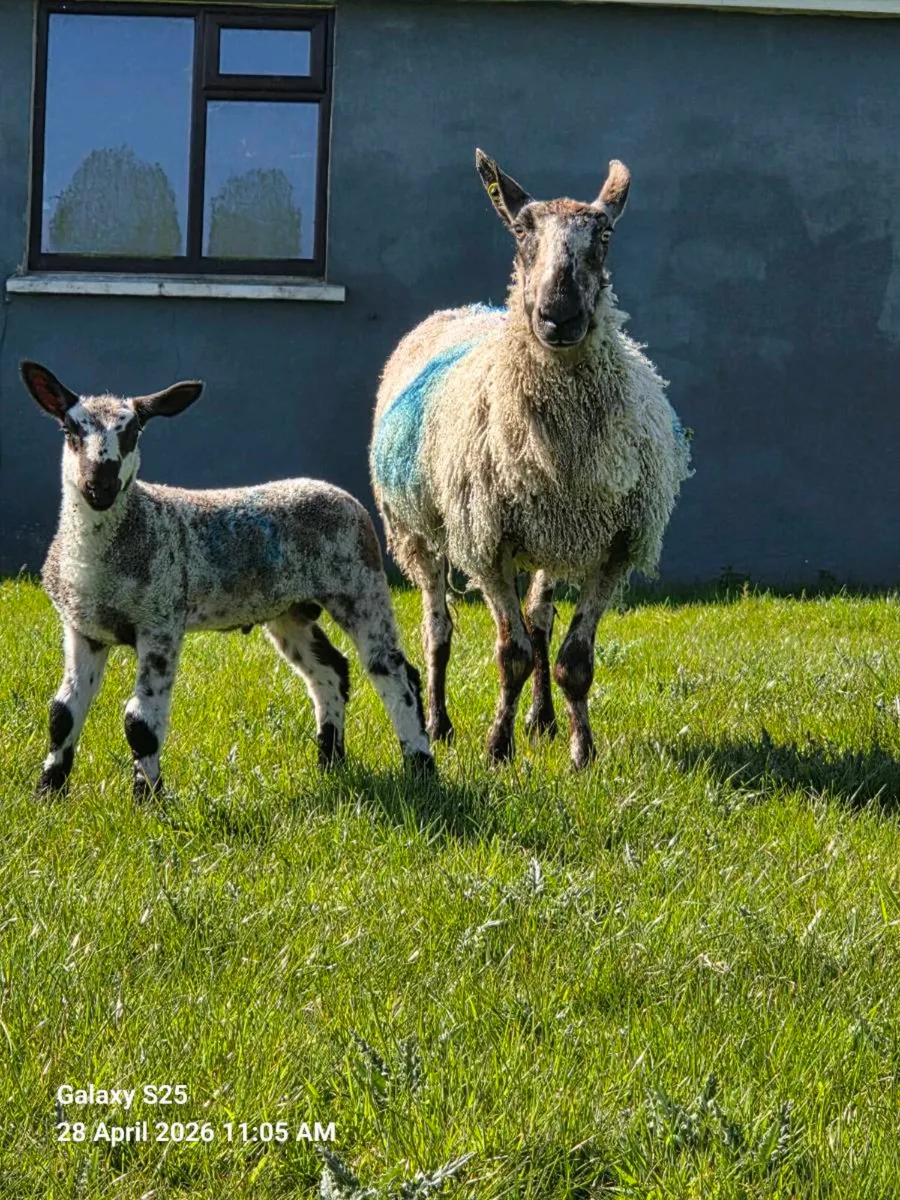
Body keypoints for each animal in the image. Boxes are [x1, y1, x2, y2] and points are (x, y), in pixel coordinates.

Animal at [21, 360, 433, 799]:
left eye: (133, 433)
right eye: (71, 430)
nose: (99, 485)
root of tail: (343, 495)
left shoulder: (161, 622)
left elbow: (140, 722)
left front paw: (148, 799)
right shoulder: (83, 629)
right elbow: (62, 712)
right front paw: (48, 791)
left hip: (360, 584)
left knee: (394, 672)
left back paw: (421, 767)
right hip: (288, 610)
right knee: (331, 671)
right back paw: (330, 763)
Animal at [370, 151, 692, 770]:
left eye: (605, 234)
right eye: (521, 232)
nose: (558, 315)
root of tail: (460, 309)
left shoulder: (615, 546)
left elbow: (573, 660)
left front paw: (581, 753)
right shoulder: (487, 543)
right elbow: (510, 654)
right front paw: (497, 748)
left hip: (550, 532)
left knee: (539, 621)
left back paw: (542, 719)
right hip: (420, 532)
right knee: (438, 629)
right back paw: (438, 722)